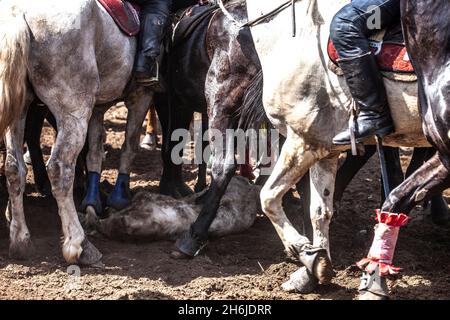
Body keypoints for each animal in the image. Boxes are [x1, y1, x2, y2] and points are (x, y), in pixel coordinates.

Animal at [0, 0, 153, 264]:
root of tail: (19, 12)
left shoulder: (98, 108)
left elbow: (94, 150)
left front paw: (94, 202)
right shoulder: (141, 95)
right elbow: (129, 145)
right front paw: (118, 197)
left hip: (19, 110)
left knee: (13, 167)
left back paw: (21, 241)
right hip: (74, 111)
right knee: (60, 169)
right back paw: (79, 244)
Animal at [246, 0, 428, 296]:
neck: (296, 34)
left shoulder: (301, 141)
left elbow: (268, 198)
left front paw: (303, 251)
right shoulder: (324, 150)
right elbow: (320, 211)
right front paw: (314, 270)